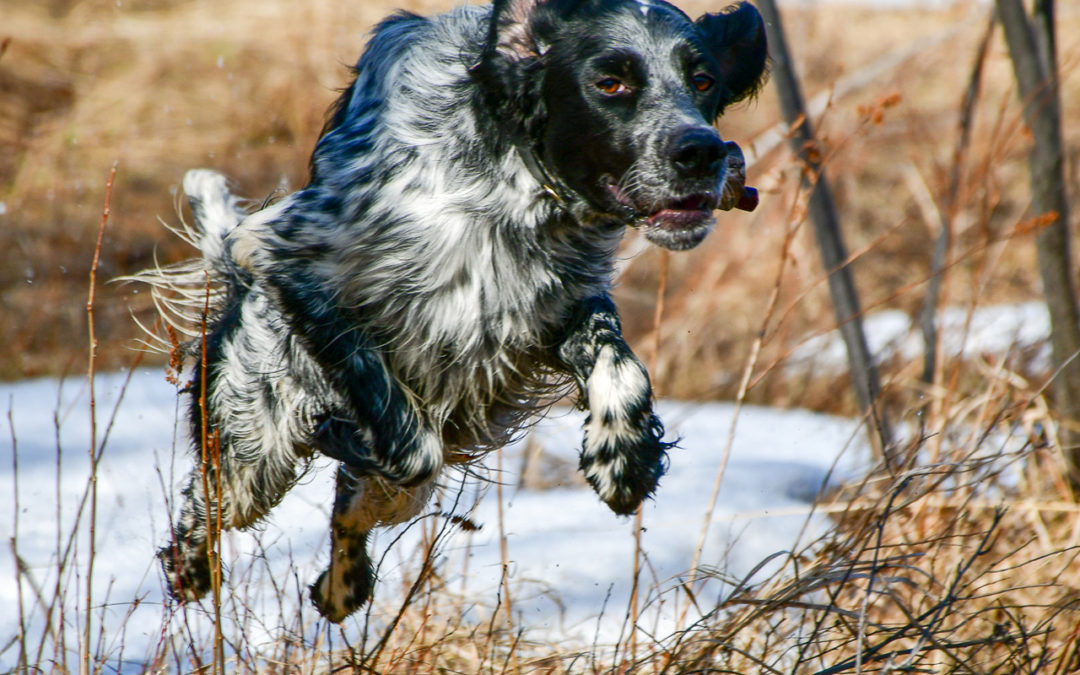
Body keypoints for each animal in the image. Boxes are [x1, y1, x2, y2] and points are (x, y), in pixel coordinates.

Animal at [141, 0, 768, 622]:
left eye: (703, 80)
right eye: (610, 83)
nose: (702, 152)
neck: (509, 186)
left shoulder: (555, 306)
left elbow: (620, 362)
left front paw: (624, 456)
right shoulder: (284, 256)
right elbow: (408, 439)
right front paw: (352, 433)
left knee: (351, 516)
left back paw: (339, 588)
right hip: (253, 447)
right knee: (212, 501)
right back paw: (192, 568)